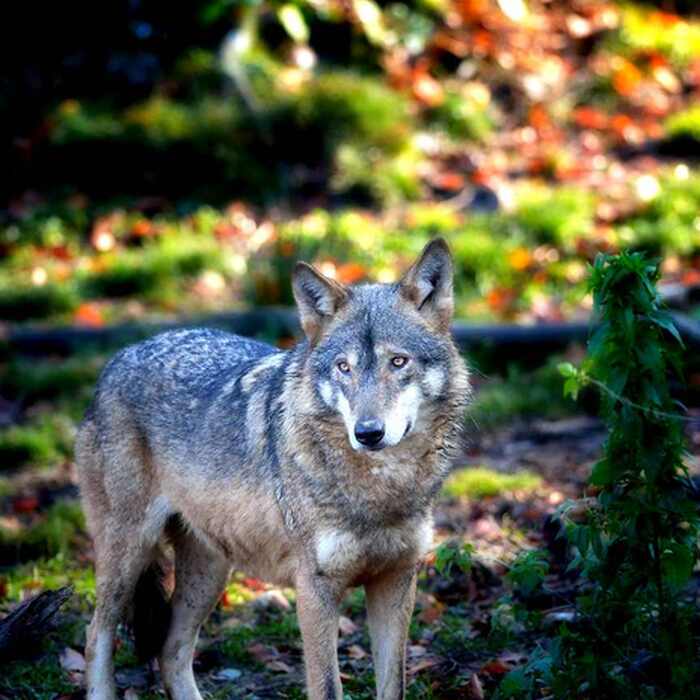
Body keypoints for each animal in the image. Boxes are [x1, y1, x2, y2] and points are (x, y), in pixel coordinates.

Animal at [75, 238, 470, 700]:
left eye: (398, 362)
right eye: (344, 367)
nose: (368, 433)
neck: (379, 488)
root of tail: (117, 358)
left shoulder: (396, 581)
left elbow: (394, 685)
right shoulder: (315, 589)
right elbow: (327, 687)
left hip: (209, 571)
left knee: (170, 652)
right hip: (129, 555)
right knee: (96, 635)